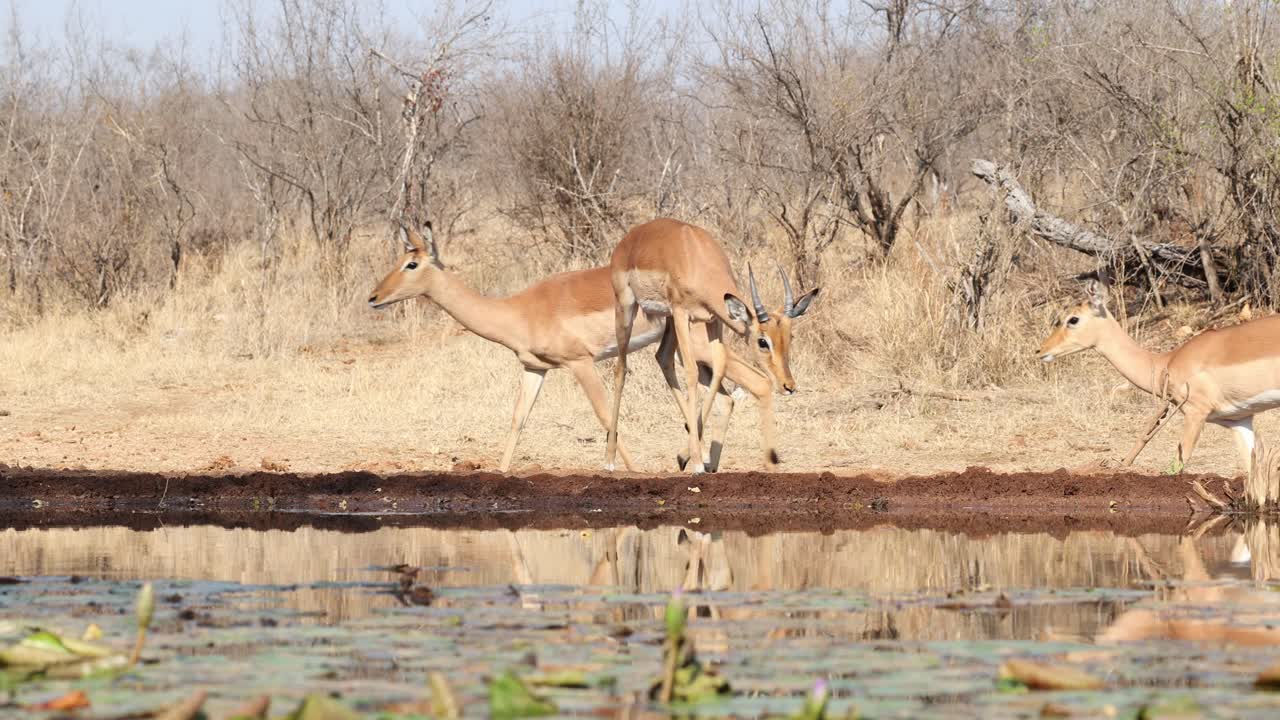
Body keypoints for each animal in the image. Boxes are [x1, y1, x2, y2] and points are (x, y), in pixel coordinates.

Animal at [366, 222, 778, 473]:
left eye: (412, 263)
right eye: (401, 258)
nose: (374, 297)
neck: (519, 310)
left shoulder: (580, 363)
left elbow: (604, 416)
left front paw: (628, 469)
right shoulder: (535, 368)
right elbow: (518, 420)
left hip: (702, 348)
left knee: (756, 384)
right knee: (731, 395)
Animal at [605, 218, 819, 474]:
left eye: (790, 336)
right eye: (762, 341)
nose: (789, 385)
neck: (698, 258)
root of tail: (626, 241)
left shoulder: (713, 320)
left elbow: (718, 371)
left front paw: (686, 456)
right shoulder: (681, 313)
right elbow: (691, 373)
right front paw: (697, 462)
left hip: (669, 322)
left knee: (663, 358)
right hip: (627, 307)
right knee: (620, 370)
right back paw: (609, 460)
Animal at [1039, 279, 1280, 474]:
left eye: (1073, 319)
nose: (1041, 350)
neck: (1166, 361)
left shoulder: (1195, 414)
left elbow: (1177, 467)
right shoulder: (1239, 420)